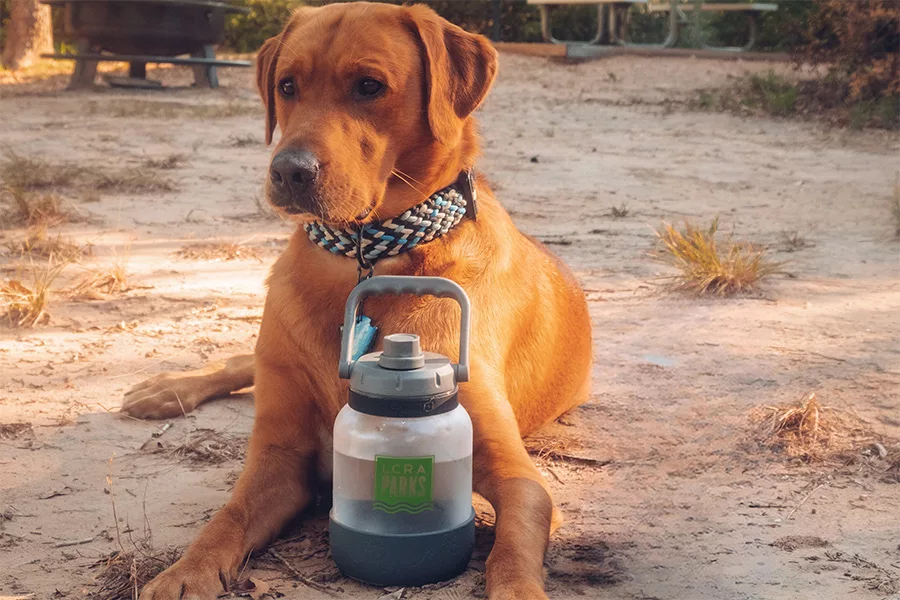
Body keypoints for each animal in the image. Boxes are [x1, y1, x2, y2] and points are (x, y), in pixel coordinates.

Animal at [125, 2, 592, 596]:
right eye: (287, 86)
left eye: (369, 86)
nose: (288, 171)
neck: (362, 258)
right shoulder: (279, 458)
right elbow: (226, 517)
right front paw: (185, 571)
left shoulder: (516, 473)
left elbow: (512, 545)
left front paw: (518, 586)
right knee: (241, 359)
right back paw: (167, 389)